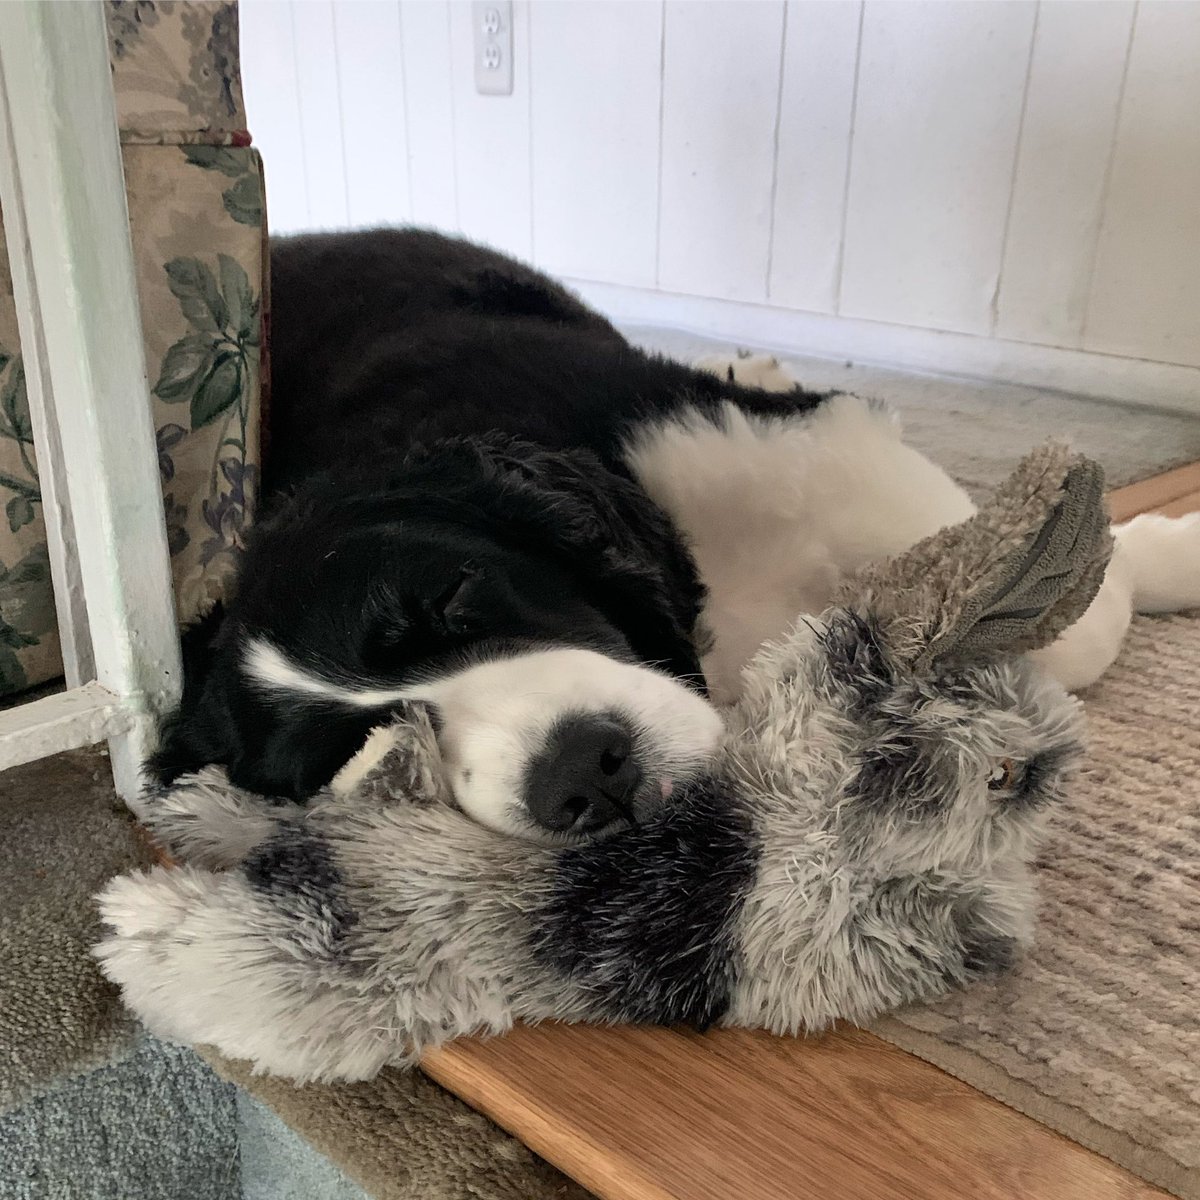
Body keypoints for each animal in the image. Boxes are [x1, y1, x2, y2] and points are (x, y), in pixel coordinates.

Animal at [150, 229, 1200, 840]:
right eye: (354, 759)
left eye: (457, 596)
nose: (583, 774)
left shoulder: (775, 442)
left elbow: (1072, 605)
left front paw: (1161, 547)